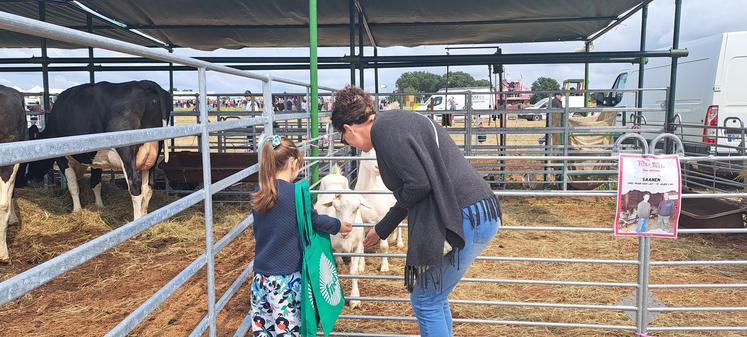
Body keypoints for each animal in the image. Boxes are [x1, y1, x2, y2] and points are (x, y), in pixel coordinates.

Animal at [29, 80, 172, 219]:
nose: (30, 179)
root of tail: (143, 83)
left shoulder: (62, 158)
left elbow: (73, 185)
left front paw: (77, 210)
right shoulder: (96, 159)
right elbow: (95, 183)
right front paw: (99, 205)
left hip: (126, 152)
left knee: (135, 186)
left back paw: (137, 221)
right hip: (153, 153)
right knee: (148, 187)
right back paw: (147, 217)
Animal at [316, 164, 372, 308]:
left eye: (356, 209)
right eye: (336, 208)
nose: (345, 230)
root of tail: (335, 174)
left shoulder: (357, 246)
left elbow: (354, 271)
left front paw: (355, 299)